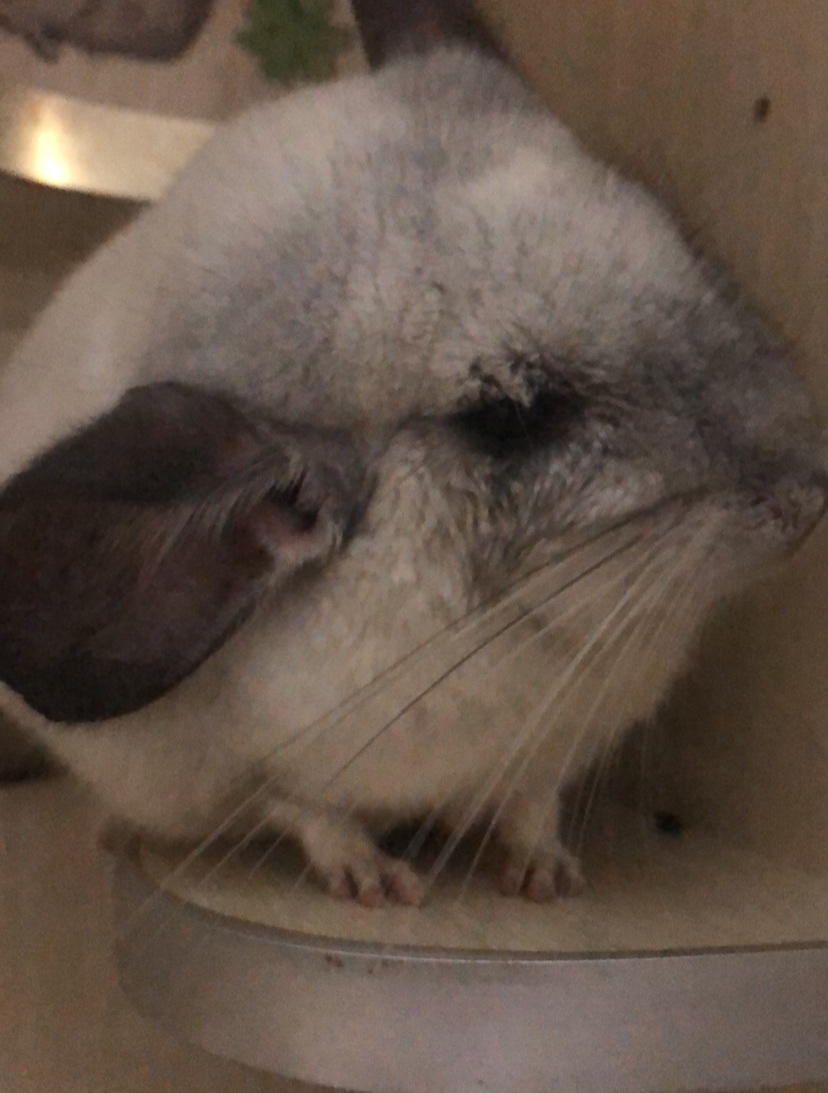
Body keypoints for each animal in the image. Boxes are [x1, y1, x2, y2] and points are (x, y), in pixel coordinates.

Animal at [0, 0, 824, 906]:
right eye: (508, 417)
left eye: (677, 237)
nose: (811, 493)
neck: (517, 636)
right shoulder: (253, 766)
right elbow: (309, 812)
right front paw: (381, 886)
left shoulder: (549, 753)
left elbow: (532, 803)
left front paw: (546, 877)